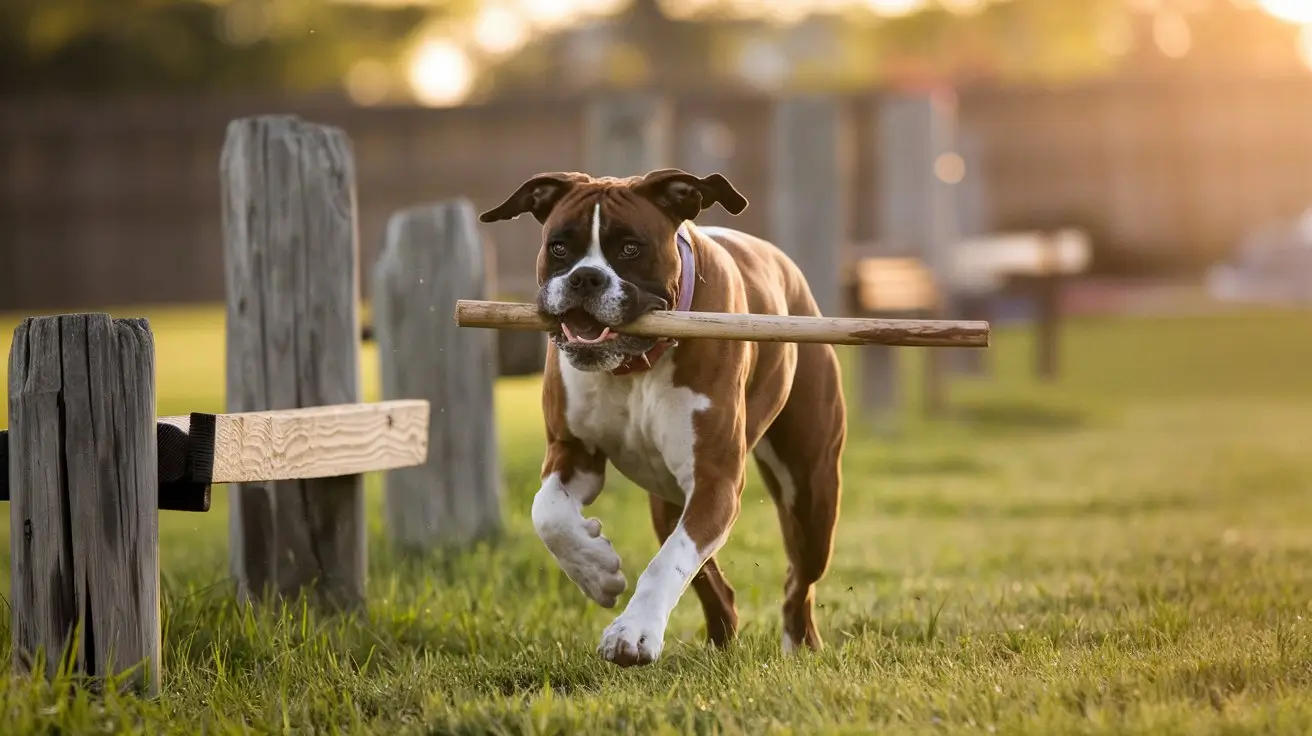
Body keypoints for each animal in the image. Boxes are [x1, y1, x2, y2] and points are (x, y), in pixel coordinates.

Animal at [477, 166, 844, 666]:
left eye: (631, 248)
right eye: (559, 247)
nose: (585, 278)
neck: (634, 364)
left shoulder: (714, 480)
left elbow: (667, 562)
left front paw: (632, 632)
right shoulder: (572, 452)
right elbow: (548, 514)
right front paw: (597, 571)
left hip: (810, 491)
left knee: (797, 580)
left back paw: (797, 644)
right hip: (667, 501)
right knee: (713, 582)